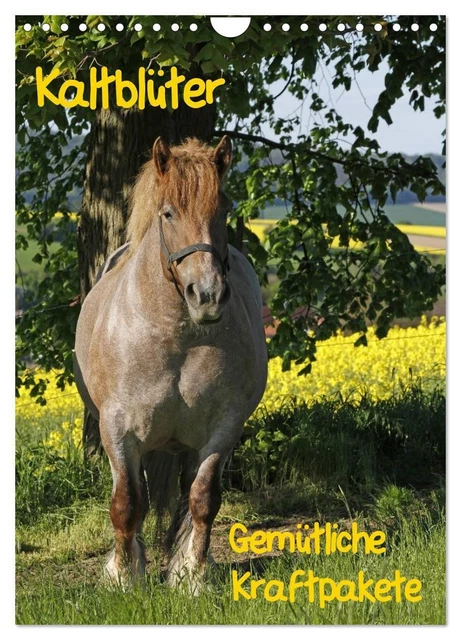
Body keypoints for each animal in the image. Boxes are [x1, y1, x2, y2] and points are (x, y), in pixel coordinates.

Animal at [74, 135, 268, 592]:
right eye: (168, 213)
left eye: (224, 208)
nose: (208, 295)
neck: (176, 338)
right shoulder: (118, 431)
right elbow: (127, 502)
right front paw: (123, 575)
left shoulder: (222, 430)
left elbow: (203, 499)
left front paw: (192, 575)